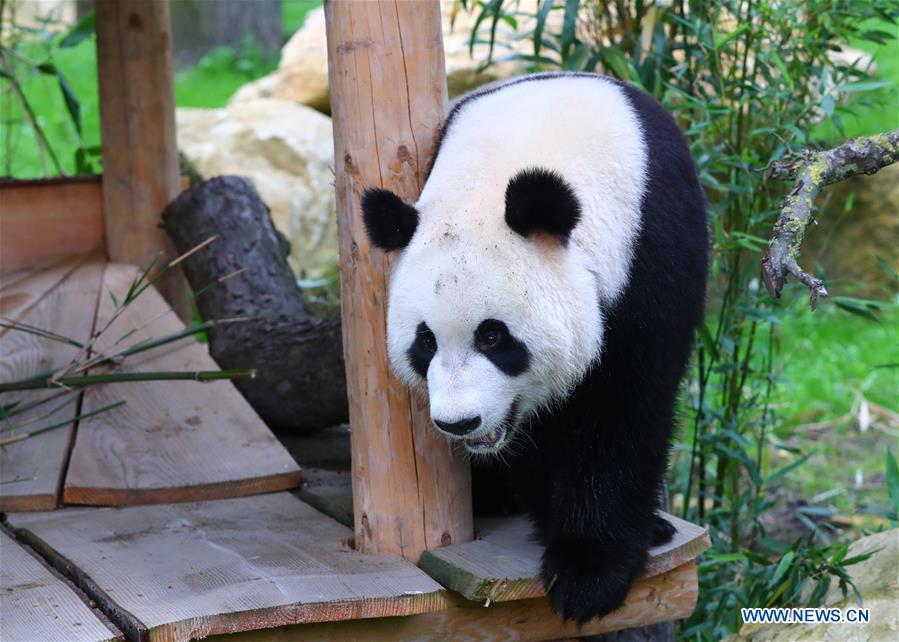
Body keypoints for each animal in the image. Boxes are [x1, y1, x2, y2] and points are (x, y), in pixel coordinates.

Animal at [360, 72, 712, 624]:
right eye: (425, 342)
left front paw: (587, 572)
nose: (459, 423)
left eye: (492, 336)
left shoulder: (649, 248)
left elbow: (623, 407)